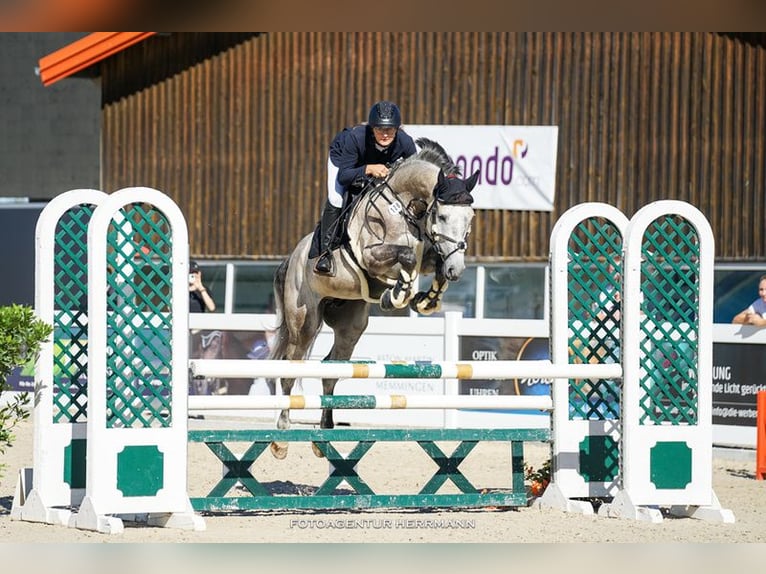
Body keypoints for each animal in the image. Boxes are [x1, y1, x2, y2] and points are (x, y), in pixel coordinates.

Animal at [268, 140, 476, 460]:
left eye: (469, 218)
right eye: (441, 216)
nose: (459, 270)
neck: (406, 208)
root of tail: (293, 257)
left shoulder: (429, 254)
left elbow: (432, 264)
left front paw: (426, 299)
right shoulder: (371, 256)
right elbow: (405, 257)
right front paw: (398, 294)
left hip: (350, 324)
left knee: (330, 370)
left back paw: (323, 436)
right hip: (303, 321)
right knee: (292, 369)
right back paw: (281, 439)